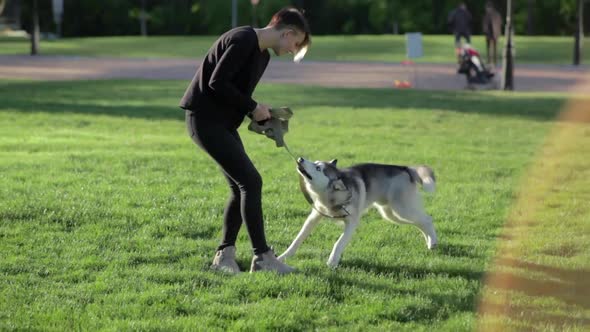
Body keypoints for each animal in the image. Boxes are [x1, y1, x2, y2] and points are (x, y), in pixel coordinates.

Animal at [278, 157, 440, 268]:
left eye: (318, 168)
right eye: (315, 161)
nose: (300, 158)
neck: (331, 197)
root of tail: (406, 168)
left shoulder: (352, 223)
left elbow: (339, 243)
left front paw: (332, 262)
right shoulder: (314, 216)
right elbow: (298, 238)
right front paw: (283, 257)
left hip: (401, 209)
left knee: (426, 219)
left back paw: (432, 241)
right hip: (391, 213)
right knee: (420, 222)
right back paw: (429, 242)